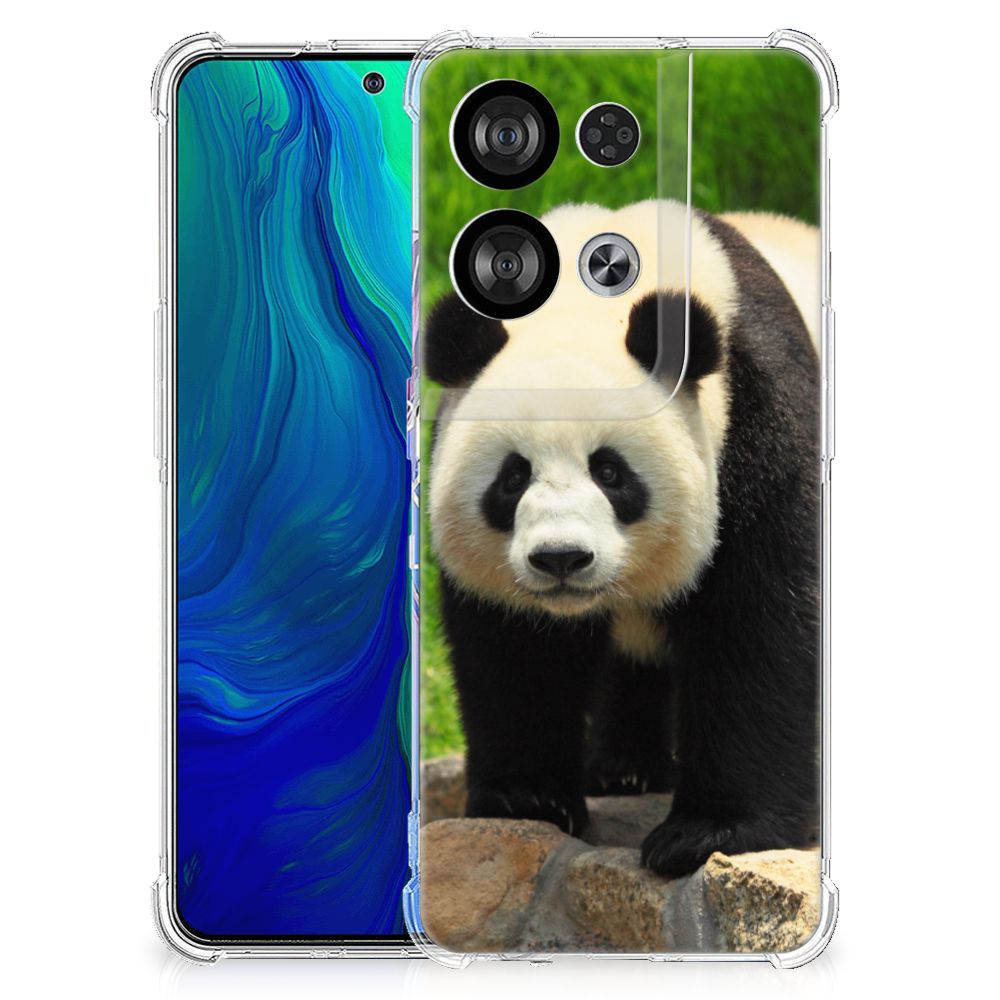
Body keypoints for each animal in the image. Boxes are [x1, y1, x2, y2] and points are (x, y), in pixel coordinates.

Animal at [423, 199, 821, 878]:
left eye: (609, 472)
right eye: (512, 477)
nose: (561, 558)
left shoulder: (760, 422)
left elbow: (759, 625)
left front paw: (709, 832)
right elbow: (514, 650)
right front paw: (528, 799)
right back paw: (624, 769)